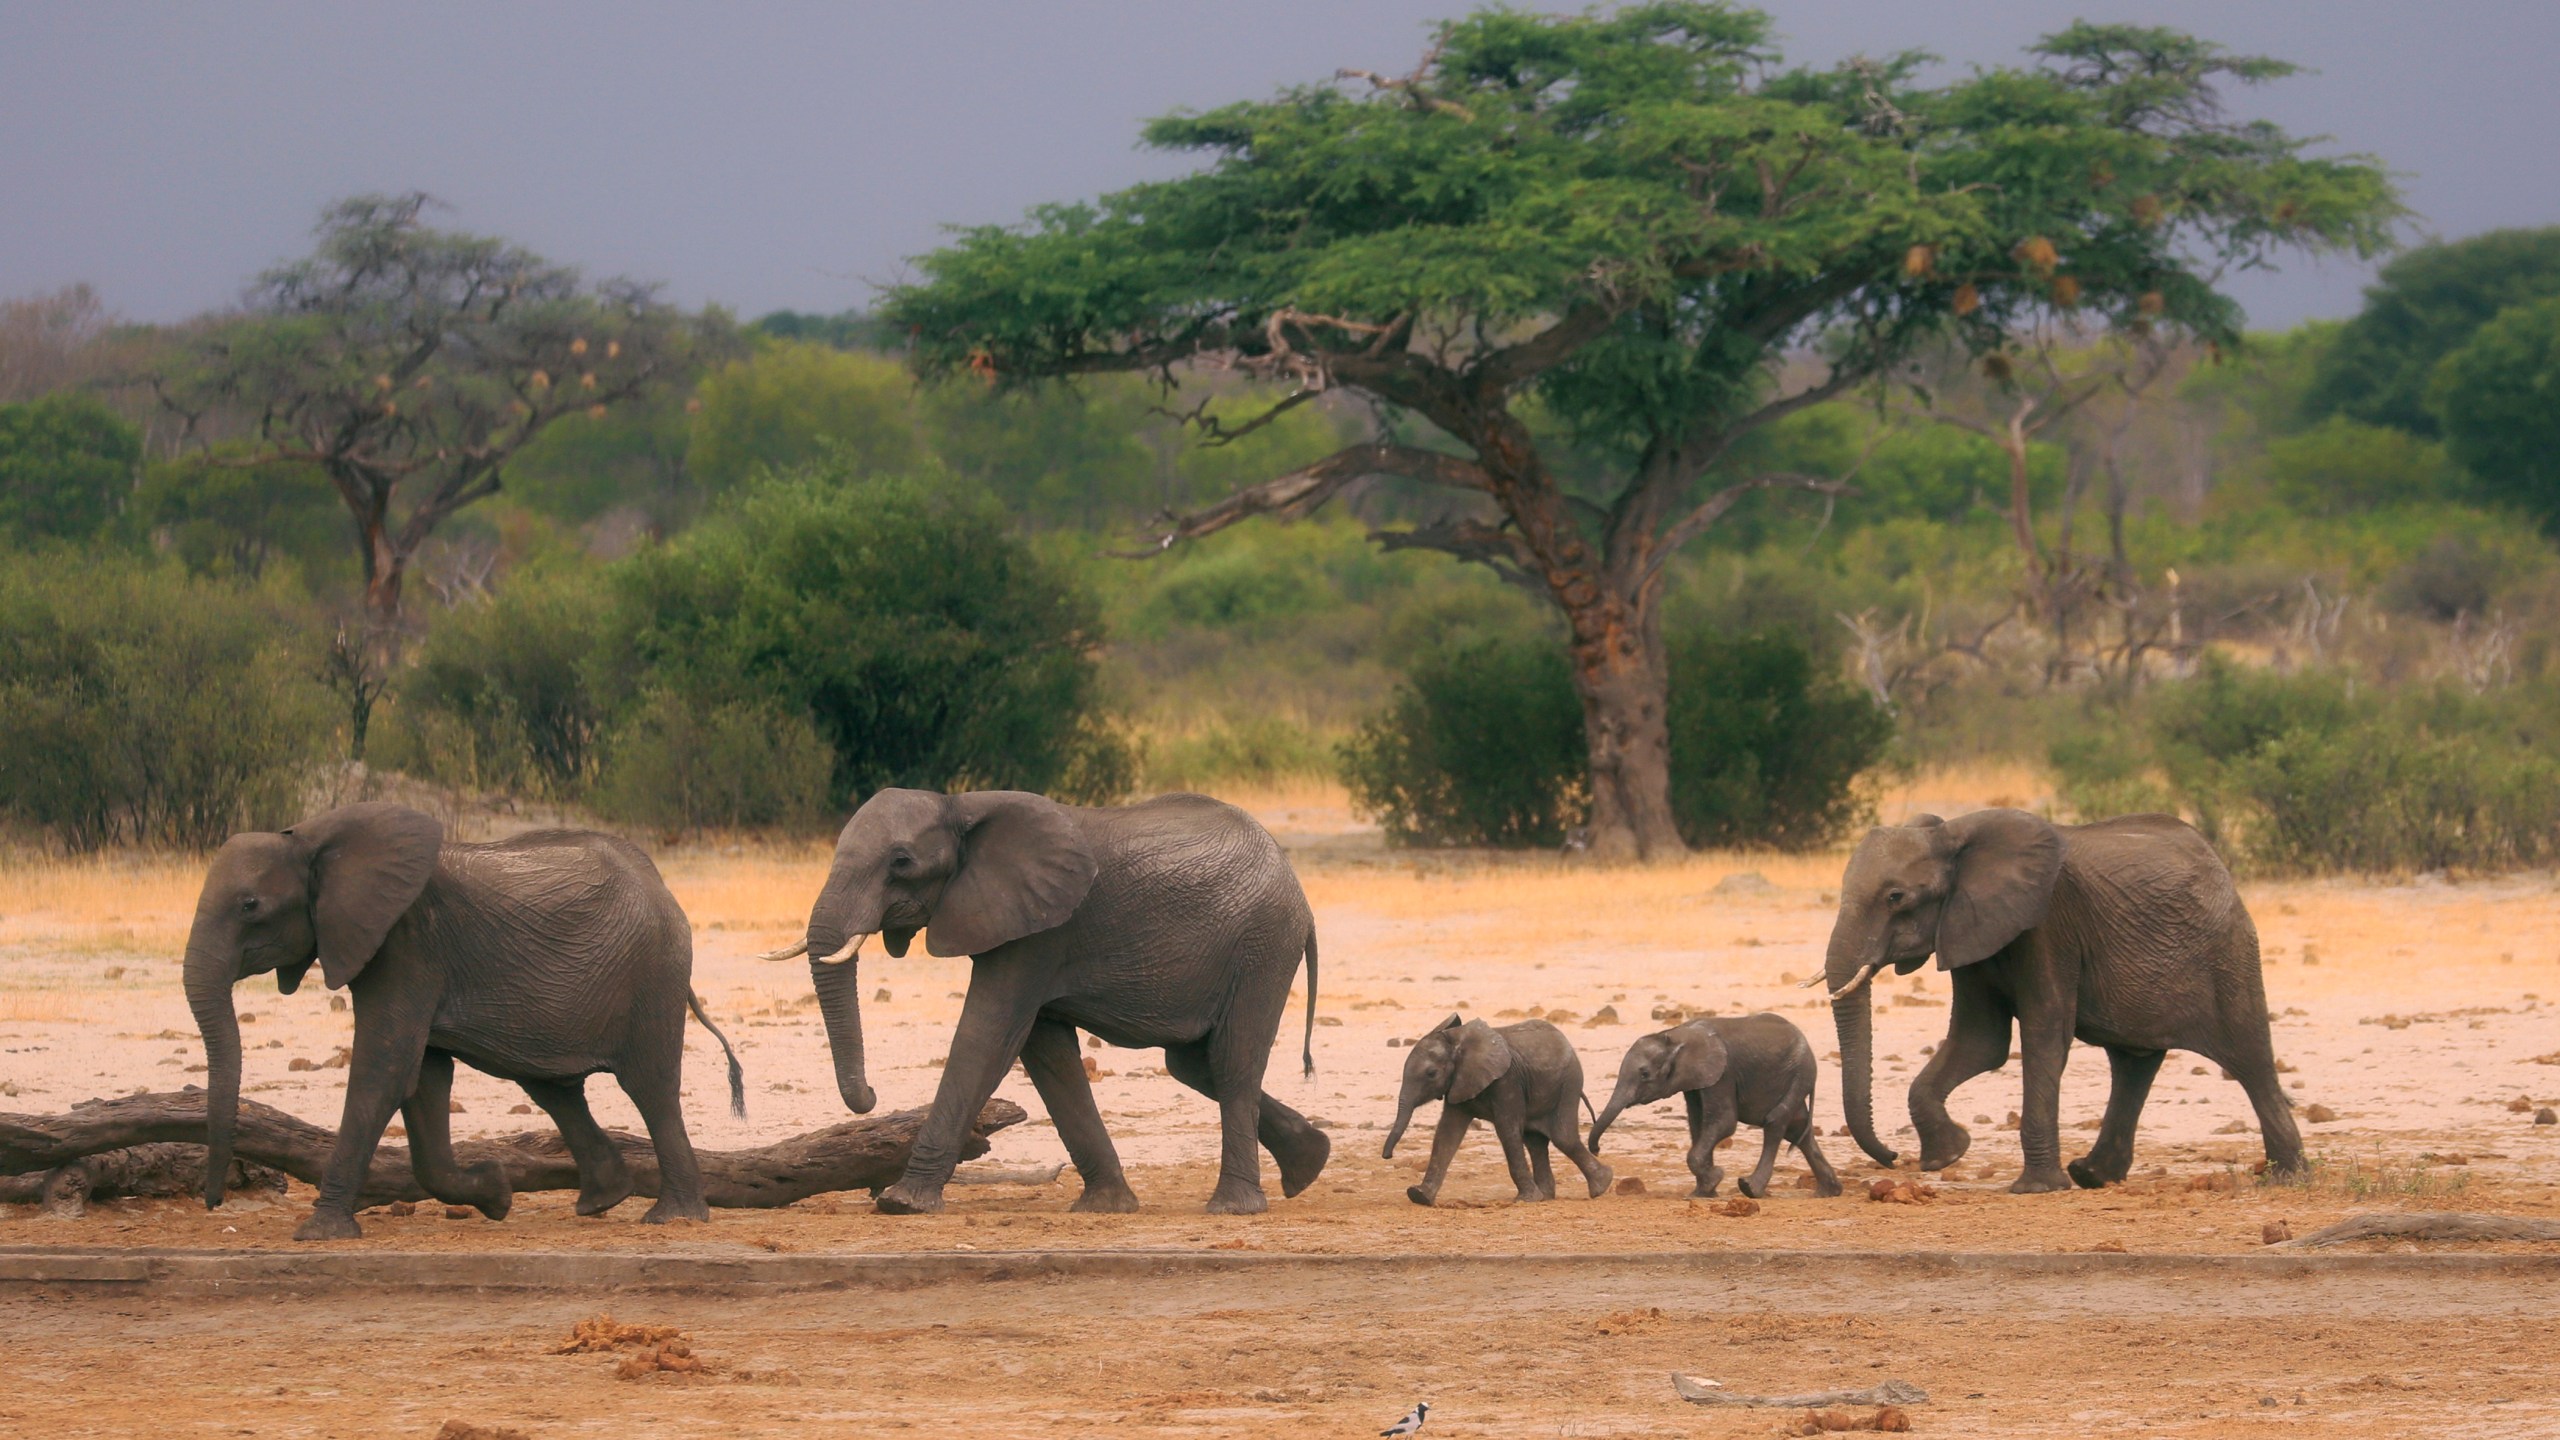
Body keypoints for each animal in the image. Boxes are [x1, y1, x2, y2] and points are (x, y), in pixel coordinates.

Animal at [177, 799, 742, 1240]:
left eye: (250, 906)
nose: (214, 1201)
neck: (313, 838)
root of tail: (662, 885)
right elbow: (422, 1079)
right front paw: (496, 1193)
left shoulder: (407, 945)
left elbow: (384, 1071)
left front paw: (319, 1233)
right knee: (552, 1087)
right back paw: (601, 1200)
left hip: (654, 975)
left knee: (649, 1088)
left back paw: (673, 1218)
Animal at [768, 784, 1331, 1209]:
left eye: (901, 862)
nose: (869, 1097)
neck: (960, 805)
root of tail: (1298, 890)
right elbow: (1047, 1053)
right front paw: (1106, 1206)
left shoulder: (1040, 932)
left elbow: (988, 1034)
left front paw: (902, 1203)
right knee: (1194, 1064)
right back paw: (1309, 1164)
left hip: (1262, 945)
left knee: (1232, 1063)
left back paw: (1233, 1206)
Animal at [1392, 1014, 1607, 1204]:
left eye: (1431, 1073)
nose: (1389, 1155)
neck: (1456, 1041)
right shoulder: (1459, 1083)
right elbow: (1447, 1133)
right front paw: (1419, 1196)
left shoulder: (1507, 1081)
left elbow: (1507, 1130)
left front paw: (1526, 1200)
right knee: (1535, 1142)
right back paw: (1548, 1196)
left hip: (1569, 1083)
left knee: (1563, 1137)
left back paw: (1601, 1187)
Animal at [1576, 1009, 1843, 1199]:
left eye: (1644, 1074)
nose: (1597, 1149)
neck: (1676, 1035)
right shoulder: (1695, 1082)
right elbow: (1698, 1125)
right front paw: (1704, 1192)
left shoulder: (1722, 1074)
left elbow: (1723, 1122)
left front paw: (1714, 1178)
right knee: (1797, 1128)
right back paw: (1828, 1192)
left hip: (1800, 1072)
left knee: (1776, 1121)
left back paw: (1750, 1189)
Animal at [1822, 809, 2304, 1188]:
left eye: (1895, 897)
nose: (1892, 1158)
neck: (1954, 835)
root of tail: (2217, 863)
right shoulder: (1968, 928)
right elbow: (1981, 1041)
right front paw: (1949, 1154)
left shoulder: (2048, 924)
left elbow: (2044, 1033)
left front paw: (2035, 1188)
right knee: (2133, 1064)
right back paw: (2092, 1175)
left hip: (2227, 952)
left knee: (2249, 1056)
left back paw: (2286, 1176)